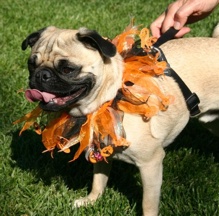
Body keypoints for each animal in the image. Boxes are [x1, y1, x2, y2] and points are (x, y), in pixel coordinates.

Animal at [21, 25, 219, 216]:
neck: (108, 99)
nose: (41, 75)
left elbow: (148, 203)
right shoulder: (101, 152)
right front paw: (91, 201)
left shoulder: (151, 163)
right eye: (31, 65)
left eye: (67, 69)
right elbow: (98, 181)